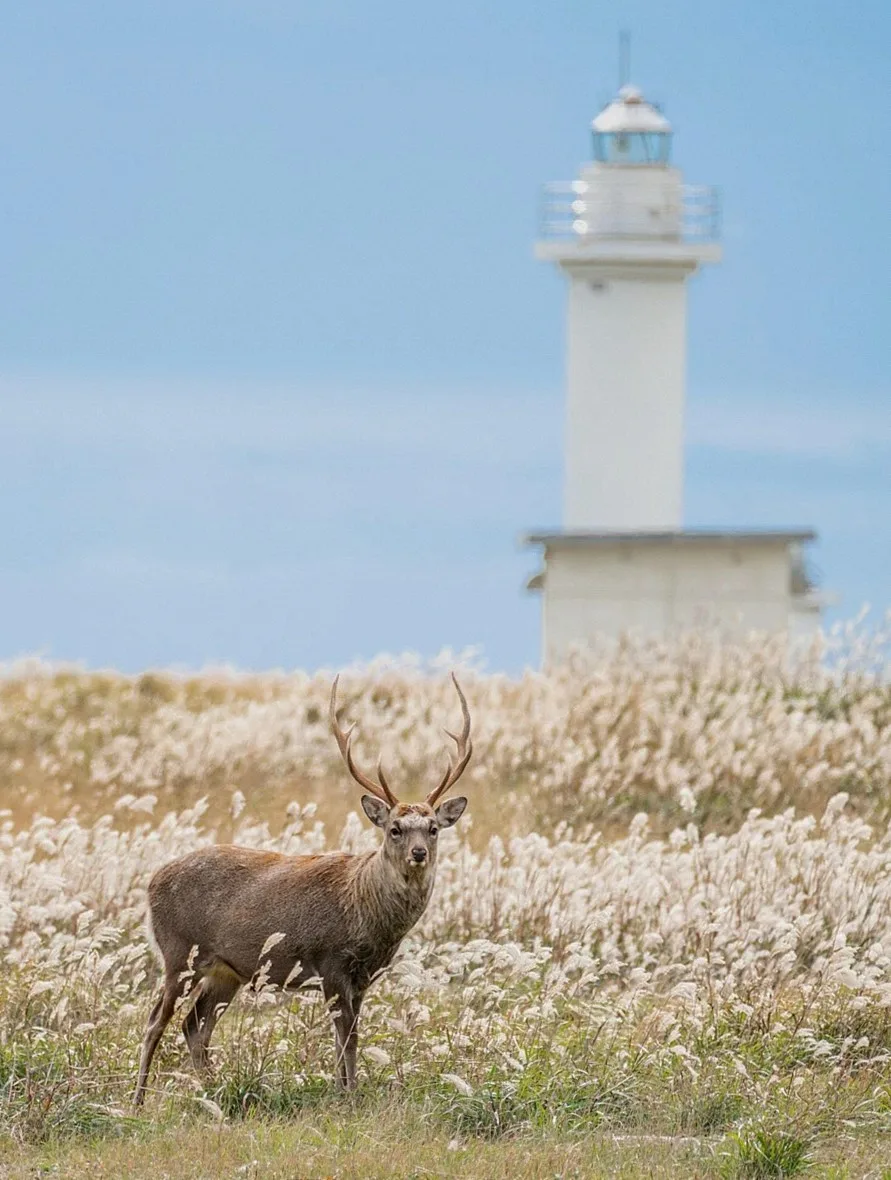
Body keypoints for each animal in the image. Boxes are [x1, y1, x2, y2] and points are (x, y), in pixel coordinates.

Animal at [133, 673, 473, 1105]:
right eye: (394, 828)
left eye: (433, 828)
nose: (418, 854)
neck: (364, 910)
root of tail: (152, 882)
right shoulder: (330, 960)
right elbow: (346, 1039)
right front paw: (347, 1096)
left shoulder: (363, 976)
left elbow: (350, 1038)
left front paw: (345, 1090)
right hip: (179, 952)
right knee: (155, 1022)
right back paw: (139, 1099)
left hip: (226, 970)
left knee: (195, 1026)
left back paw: (215, 1090)